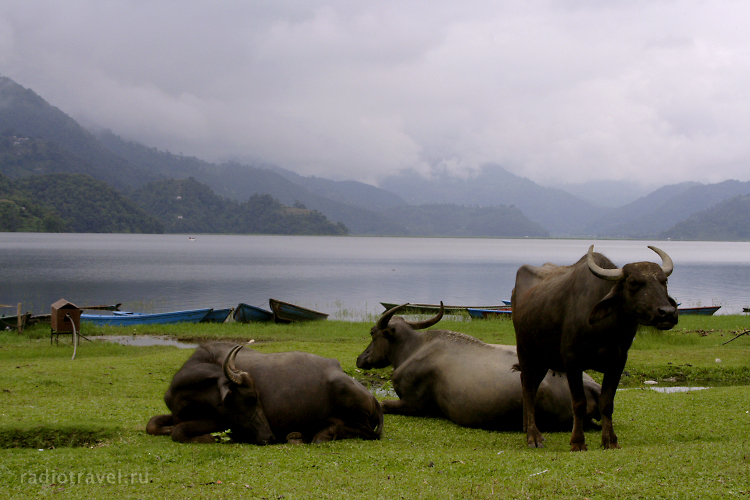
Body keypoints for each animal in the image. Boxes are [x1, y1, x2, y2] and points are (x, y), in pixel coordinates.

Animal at [148, 342, 384, 444]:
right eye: (251, 398)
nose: (269, 435)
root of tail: (373, 398)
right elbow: (152, 424)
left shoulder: (224, 422)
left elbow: (179, 431)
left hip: (349, 398)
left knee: (364, 432)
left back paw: (319, 435)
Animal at [356, 302, 604, 432]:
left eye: (372, 332)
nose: (360, 358)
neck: (413, 349)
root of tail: (592, 388)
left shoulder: (413, 404)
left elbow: (383, 404)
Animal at [516, 244, 680, 452]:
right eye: (634, 282)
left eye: (663, 281)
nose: (667, 313)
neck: (605, 329)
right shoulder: (572, 361)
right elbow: (579, 403)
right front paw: (577, 442)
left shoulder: (618, 362)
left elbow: (607, 402)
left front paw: (610, 440)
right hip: (525, 352)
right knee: (528, 388)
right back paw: (533, 436)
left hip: (543, 359)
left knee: (533, 386)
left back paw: (525, 427)